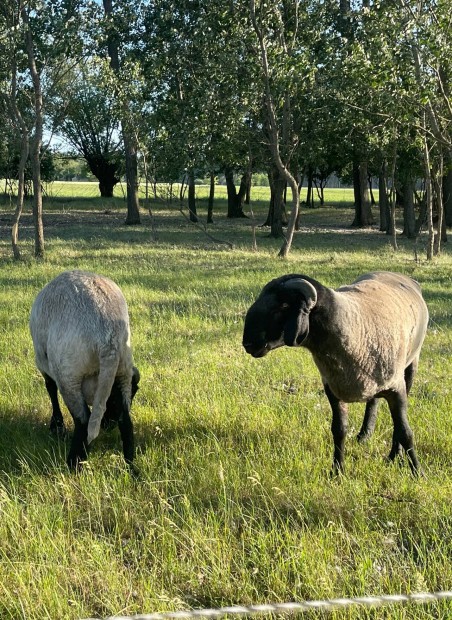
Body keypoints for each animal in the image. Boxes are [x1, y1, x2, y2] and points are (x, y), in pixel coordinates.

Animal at [30, 268, 139, 468]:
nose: (107, 425)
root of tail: (107, 339)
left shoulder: (43, 362)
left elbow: (50, 388)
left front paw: (57, 426)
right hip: (123, 370)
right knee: (126, 421)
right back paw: (131, 467)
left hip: (69, 375)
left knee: (83, 420)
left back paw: (73, 464)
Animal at [242, 270, 430, 474]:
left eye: (283, 305)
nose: (248, 344)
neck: (352, 326)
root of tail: (399, 275)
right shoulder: (333, 388)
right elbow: (339, 429)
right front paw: (337, 471)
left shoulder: (397, 389)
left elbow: (404, 431)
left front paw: (416, 471)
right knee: (373, 401)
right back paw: (365, 434)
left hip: (410, 366)